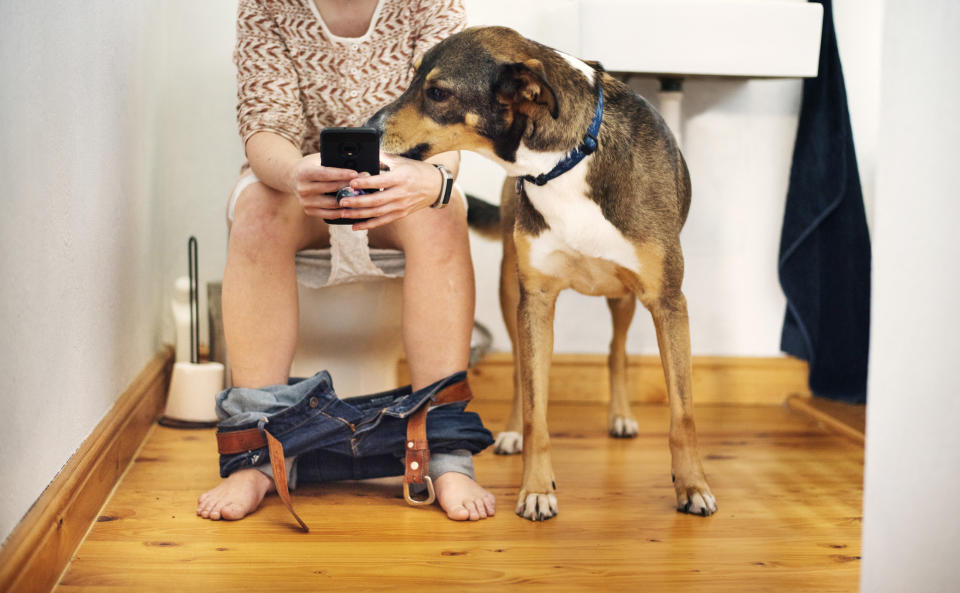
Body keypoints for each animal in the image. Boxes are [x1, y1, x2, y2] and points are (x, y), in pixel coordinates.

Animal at [372, 26, 716, 520]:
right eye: (412, 78)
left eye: (437, 93)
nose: (367, 128)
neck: (566, 161)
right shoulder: (535, 301)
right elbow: (537, 410)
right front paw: (535, 489)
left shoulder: (668, 301)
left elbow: (683, 414)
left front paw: (692, 487)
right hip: (509, 293)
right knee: (521, 369)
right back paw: (513, 431)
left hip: (624, 297)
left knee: (616, 352)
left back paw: (620, 416)